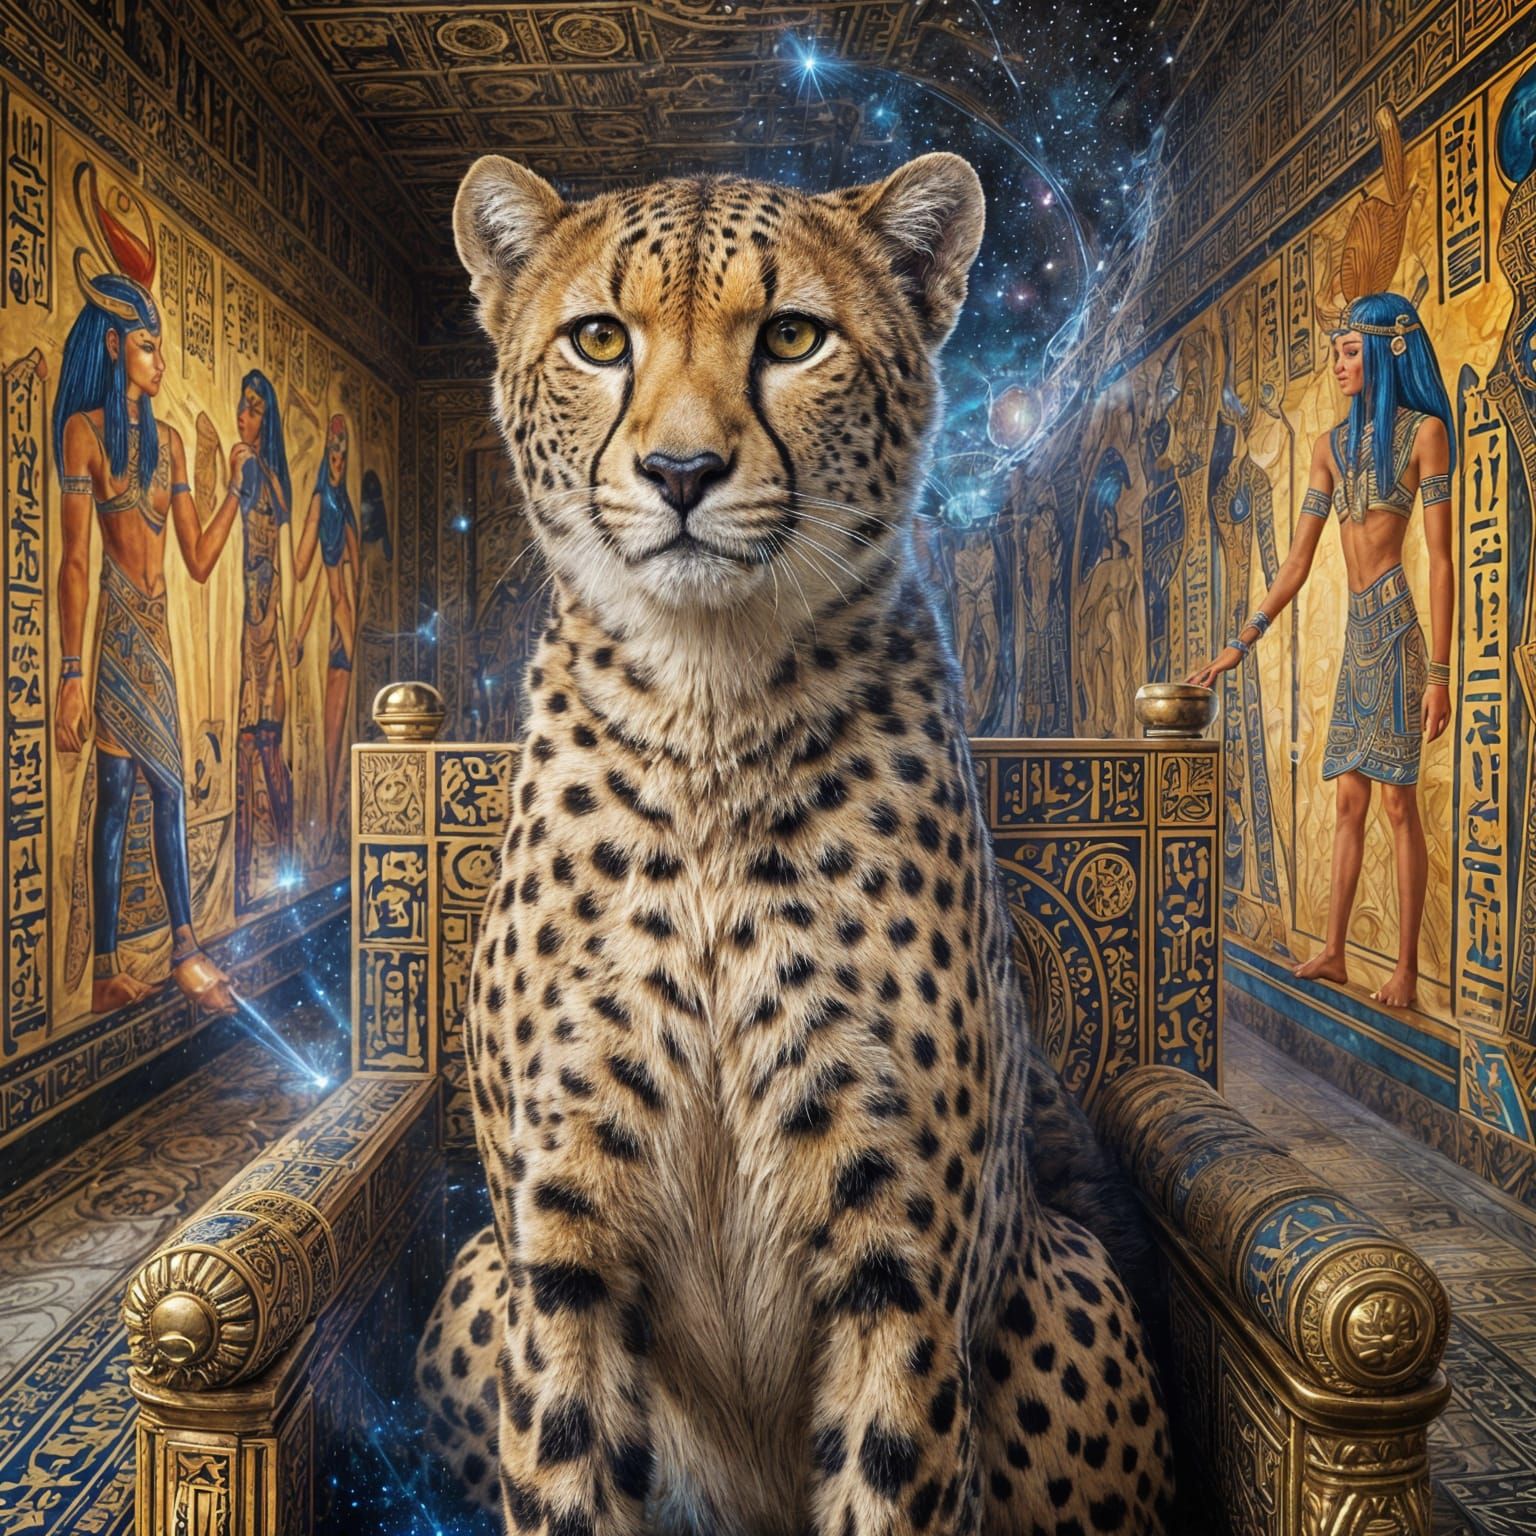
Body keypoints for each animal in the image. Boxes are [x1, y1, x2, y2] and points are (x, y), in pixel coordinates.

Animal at [415, 150, 1174, 1536]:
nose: (681, 471)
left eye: (790, 337)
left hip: (1069, 1284)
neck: (709, 708)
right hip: (474, 1277)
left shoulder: (906, 1278)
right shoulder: (558, 1262)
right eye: (598, 338)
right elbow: (563, 1474)